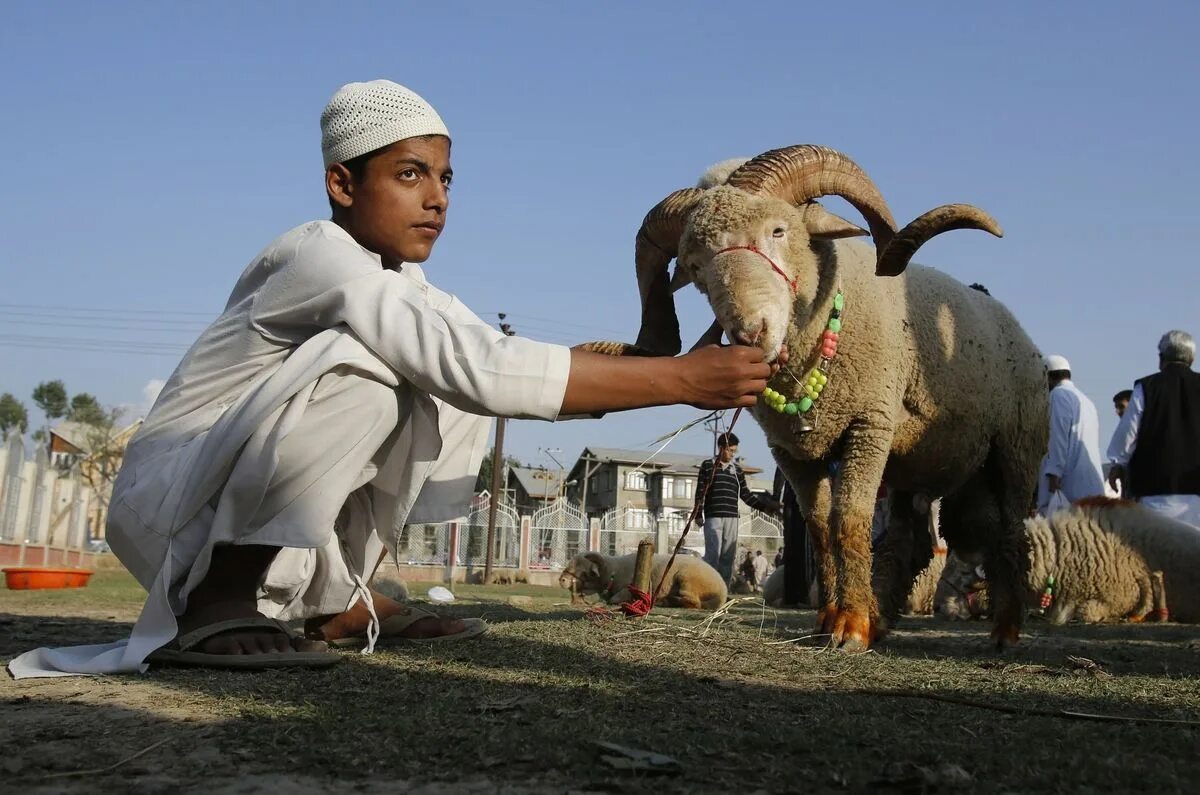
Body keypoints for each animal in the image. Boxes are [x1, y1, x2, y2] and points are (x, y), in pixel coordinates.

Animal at [556, 554, 724, 610]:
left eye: (583, 572)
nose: (561, 579)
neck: (614, 571)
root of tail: (722, 593)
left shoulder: (628, 587)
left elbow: (615, 598)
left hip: (687, 578)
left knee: (694, 603)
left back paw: (668, 601)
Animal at [592, 146, 1051, 653]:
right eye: (695, 266)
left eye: (778, 230)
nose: (750, 334)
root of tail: (1020, 333)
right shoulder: (792, 453)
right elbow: (819, 529)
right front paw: (829, 619)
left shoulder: (868, 427)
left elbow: (849, 519)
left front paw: (851, 626)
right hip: (914, 464)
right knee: (911, 541)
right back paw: (884, 618)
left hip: (1015, 453)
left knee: (1010, 534)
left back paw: (1005, 631)